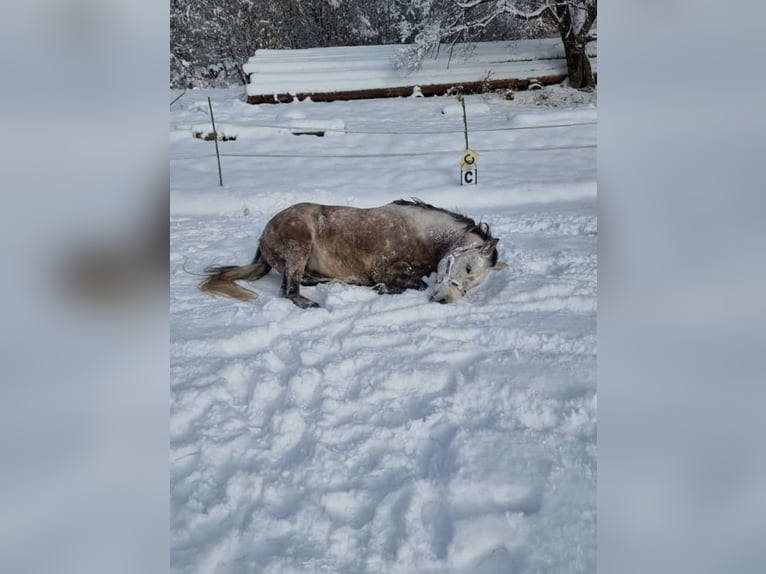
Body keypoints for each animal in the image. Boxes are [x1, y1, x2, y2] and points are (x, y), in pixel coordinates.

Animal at [201, 199, 508, 310]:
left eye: (474, 281)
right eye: (467, 267)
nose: (446, 299)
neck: (420, 234)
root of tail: (265, 232)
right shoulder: (385, 268)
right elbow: (416, 282)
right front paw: (383, 288)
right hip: (299, 247)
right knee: (289, 290)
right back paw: (311, 303)